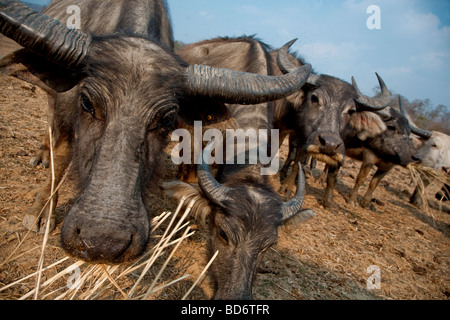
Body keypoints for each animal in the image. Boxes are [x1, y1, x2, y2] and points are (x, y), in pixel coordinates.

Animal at [0, 1, 310, 264]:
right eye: (87, 102)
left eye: (167, 118)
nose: (103, 243)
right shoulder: (67, 110)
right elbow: (62, 157)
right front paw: (40, 214)